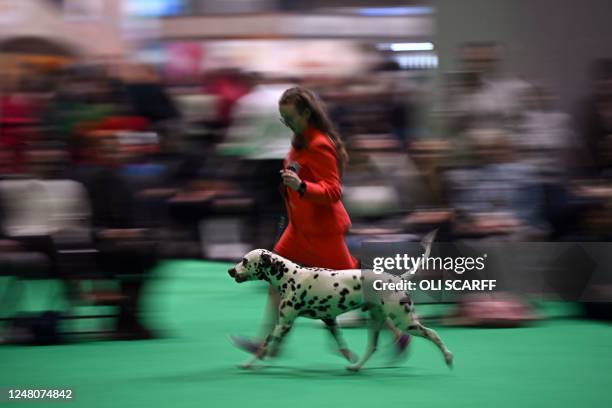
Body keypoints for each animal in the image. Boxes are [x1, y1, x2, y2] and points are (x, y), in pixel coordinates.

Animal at [227, 231, 452, 372]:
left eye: (245, 261)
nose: (230, 270)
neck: (290, 277)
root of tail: (397, 279)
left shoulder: (283, 324)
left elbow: (263, 346)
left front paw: (248, 363)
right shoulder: (329, 320)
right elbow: (340, 342)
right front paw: (348, 356)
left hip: (405, 321)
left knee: (434, 334)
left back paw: (448, 357)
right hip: (376, 321)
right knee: (372, 347)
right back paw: (356, 367)